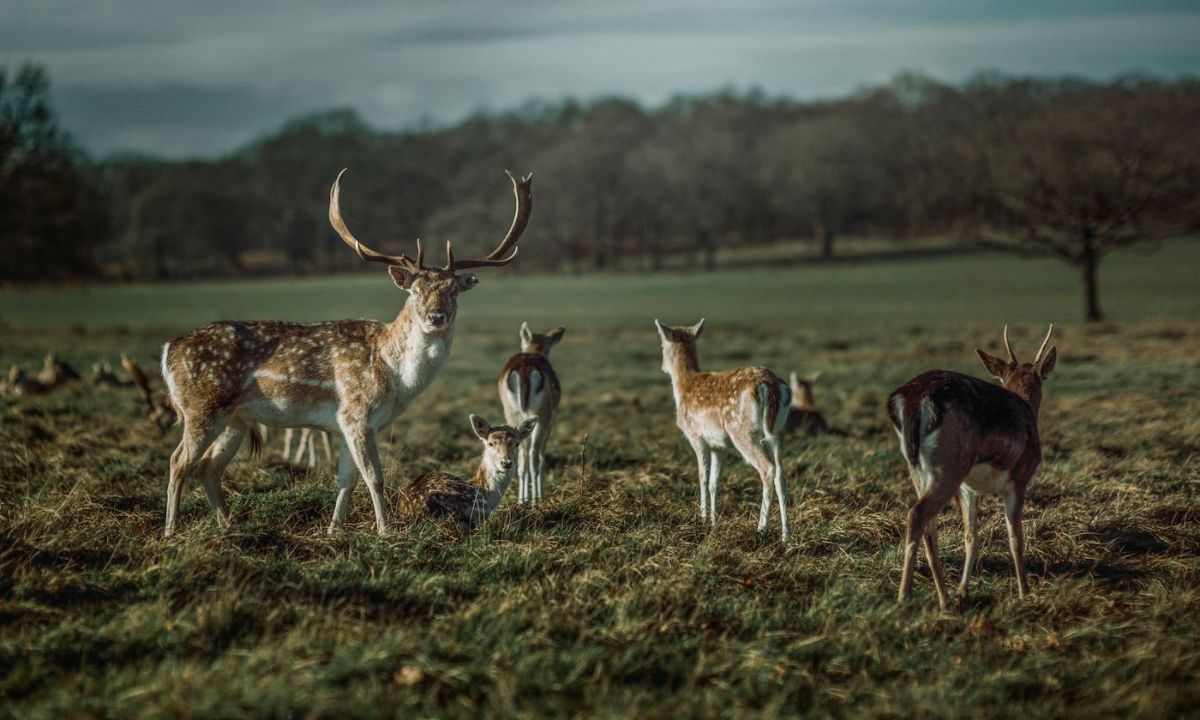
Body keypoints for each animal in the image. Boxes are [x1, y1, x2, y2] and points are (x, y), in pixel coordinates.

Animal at [498, 322, 565, 504]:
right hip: (541, 418)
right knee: (535, 456)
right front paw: (538, 495)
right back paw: (536, 500)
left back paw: (521, 501)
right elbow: (541, 457)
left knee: (521, 458)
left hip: (513, 416)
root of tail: (524, 370)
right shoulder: (549, 423)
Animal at [655, 319, 792, 541]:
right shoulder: (719, 445)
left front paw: (702, 519)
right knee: (780, 473)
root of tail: (770, 386)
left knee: (767, 469)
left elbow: (702, 477)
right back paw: (786, 535)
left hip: (742, 431)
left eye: (661, 346)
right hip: (778, 431)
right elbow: (714, 482)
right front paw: (713, 521)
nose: (663, 368)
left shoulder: (696, 436)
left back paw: (761, 529)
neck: (684, 386)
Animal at [888, 324, 1057, 609]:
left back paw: (945, 599)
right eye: (1042, 379)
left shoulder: (968, 489)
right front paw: (1025, 593)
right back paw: (903, 597)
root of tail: (910, 400)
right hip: (949, 467)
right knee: (917, 514)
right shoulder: (1019, 479)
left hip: (919, 470)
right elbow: (1015, 538)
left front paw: (963, 591)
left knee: (929, 527)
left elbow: (971, 536)